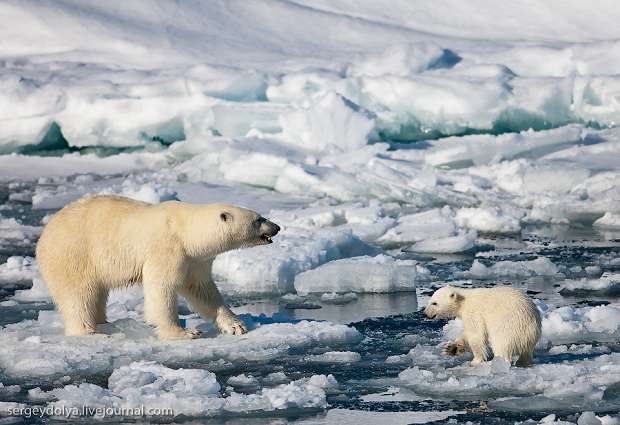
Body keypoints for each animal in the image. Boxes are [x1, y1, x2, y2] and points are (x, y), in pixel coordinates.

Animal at [35, 195, 280, 338]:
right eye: (259, 219)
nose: (277, 227)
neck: (185, 229)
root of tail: (44, 235)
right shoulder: (167, 249)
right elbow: (161, 288)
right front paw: (184, 332)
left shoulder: (195, 259)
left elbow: (202, 290)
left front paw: (236, 325)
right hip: (74, 255)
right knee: (78, 295)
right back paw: (89, 332)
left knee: (97, 294)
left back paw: (105, 323)